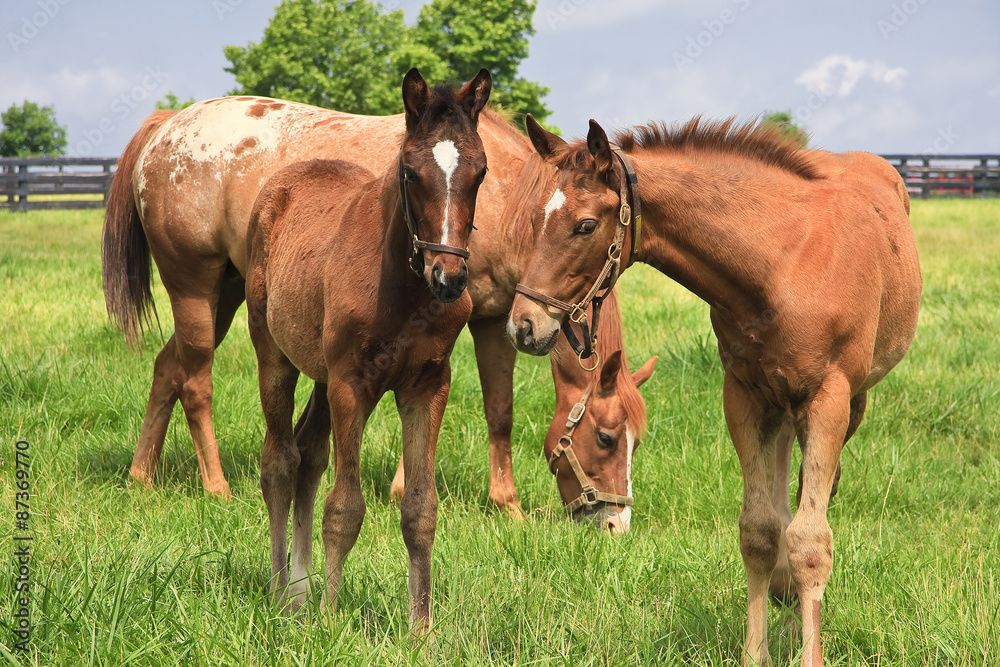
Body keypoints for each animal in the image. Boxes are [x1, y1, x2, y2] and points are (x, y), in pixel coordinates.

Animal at [103, 90, 656, 532]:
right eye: (606, 438)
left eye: (636, 442)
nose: (615, 525)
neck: (511, 202)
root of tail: (167, 127)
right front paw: (405, 489)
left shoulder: (492, 322)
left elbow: (499, 411)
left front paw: (507, 506)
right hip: (194, 288)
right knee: (195, 382)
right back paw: (216, 485)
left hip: (228, 293)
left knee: (167, 368)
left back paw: (141, 476)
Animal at [245, 68, 489, 627]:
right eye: (410, 171)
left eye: (482, 171)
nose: (449, 277)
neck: (406, 290)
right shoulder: (351, 384)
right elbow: (345, 508)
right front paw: (332, 620)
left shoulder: (427, 385)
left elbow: (420, 508)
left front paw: (421, 627)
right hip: (275, 353)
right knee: (280, 460)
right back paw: (280, 592)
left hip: (320, 373)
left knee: (309, 454)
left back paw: (300, 590)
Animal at [507, 114, 921, 666]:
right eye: (534, 219)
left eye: (586, 226)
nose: (524, 325)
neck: (781, 262)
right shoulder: (743, 394)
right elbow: (759, 531)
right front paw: (757, 650)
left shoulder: (827, 396)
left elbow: (811, 538)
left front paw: (806, 645)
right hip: (779, 403)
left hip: (851, 400)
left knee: (816, 495)